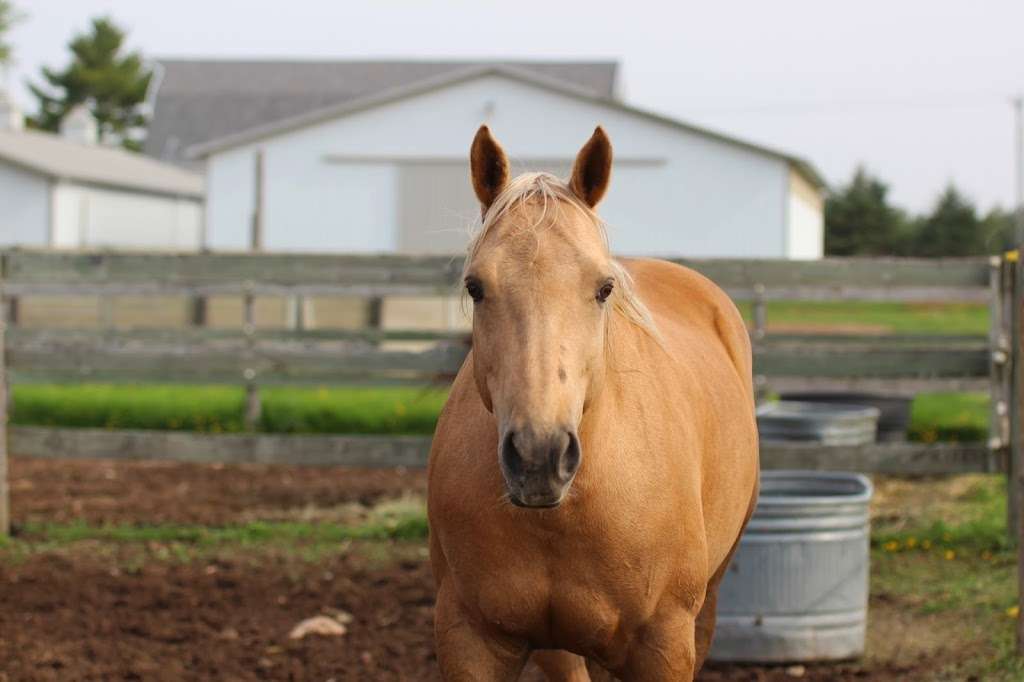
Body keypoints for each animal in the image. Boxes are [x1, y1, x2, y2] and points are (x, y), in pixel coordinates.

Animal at [425, 124, 761, 675]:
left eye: (604, 288)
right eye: (475, 287)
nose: (539, 457)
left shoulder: (664, 645)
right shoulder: (467, 638)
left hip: (708, 598)